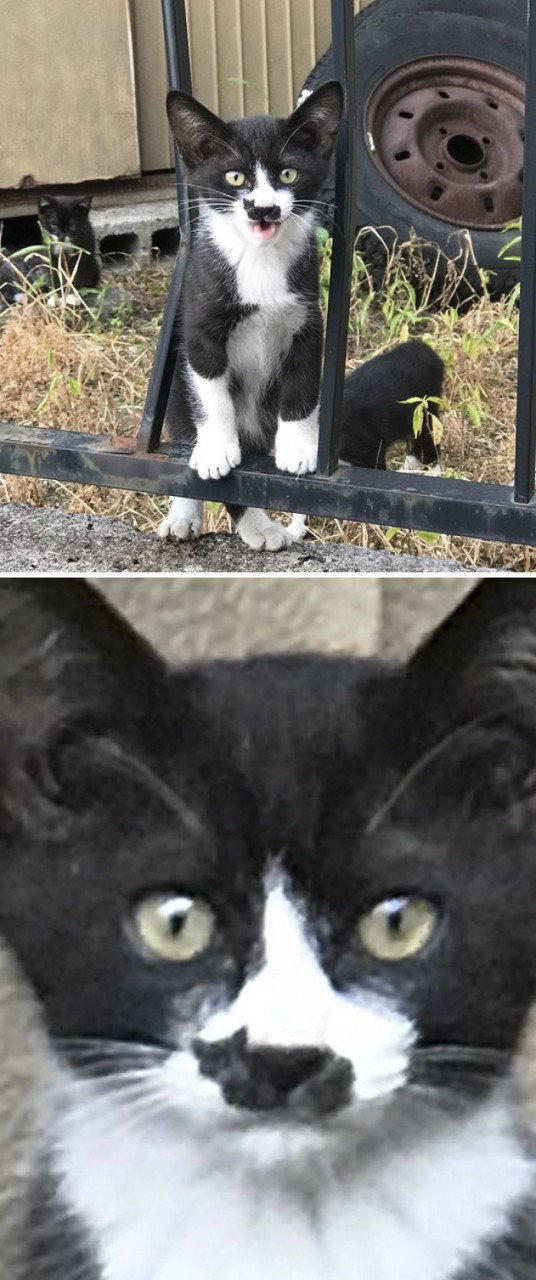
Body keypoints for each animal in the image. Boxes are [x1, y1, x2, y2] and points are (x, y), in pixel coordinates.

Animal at [159, 82, 342, 552]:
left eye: (288, 175)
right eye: (236, 178)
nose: (263, 209)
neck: (259, 259)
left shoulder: (307, 322)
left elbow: (302, 387)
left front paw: (298, 448)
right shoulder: (200, 325)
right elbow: (211, 393)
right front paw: (216, 449)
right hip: (175, 392)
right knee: (184, 426)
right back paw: (195, 516)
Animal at [340, 340, 445, 476]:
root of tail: (422, 346)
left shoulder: (369, 448)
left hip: (425, 408)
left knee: (430, 437)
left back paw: (433, 471)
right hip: (412, 417)